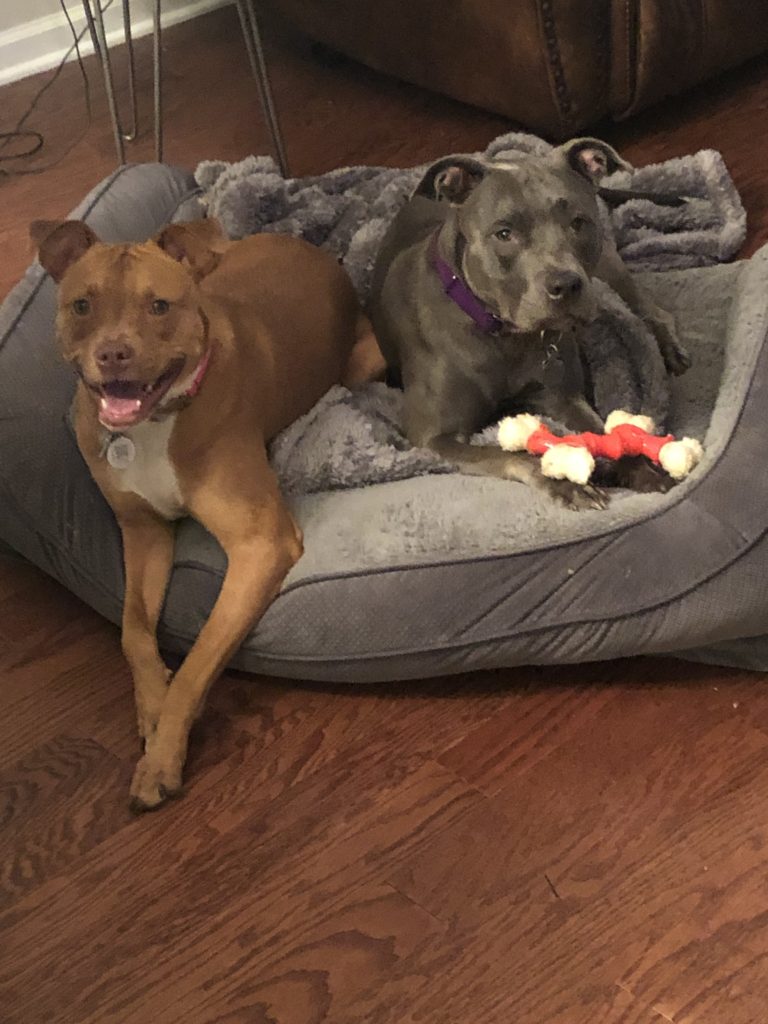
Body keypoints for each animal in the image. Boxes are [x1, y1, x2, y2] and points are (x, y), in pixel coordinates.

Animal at [32, 217, 380, 811]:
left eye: (159, 306)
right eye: (82, 305)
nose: (113, 353)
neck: (155, 424)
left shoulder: (261, 542)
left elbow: (197, 662)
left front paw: (161, 759)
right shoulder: (143, 533)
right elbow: (133, 629)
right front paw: (152, 705)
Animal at [369, 137, 690, 508]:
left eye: (578, 222)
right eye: (504, 233)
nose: (566, 285)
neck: (502, 334)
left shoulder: (564, 397)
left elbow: (603, 432)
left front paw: (639, 467)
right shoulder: (434, 437)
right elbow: (512, 455)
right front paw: (566, 483)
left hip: (607, 269)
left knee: (648, 309)